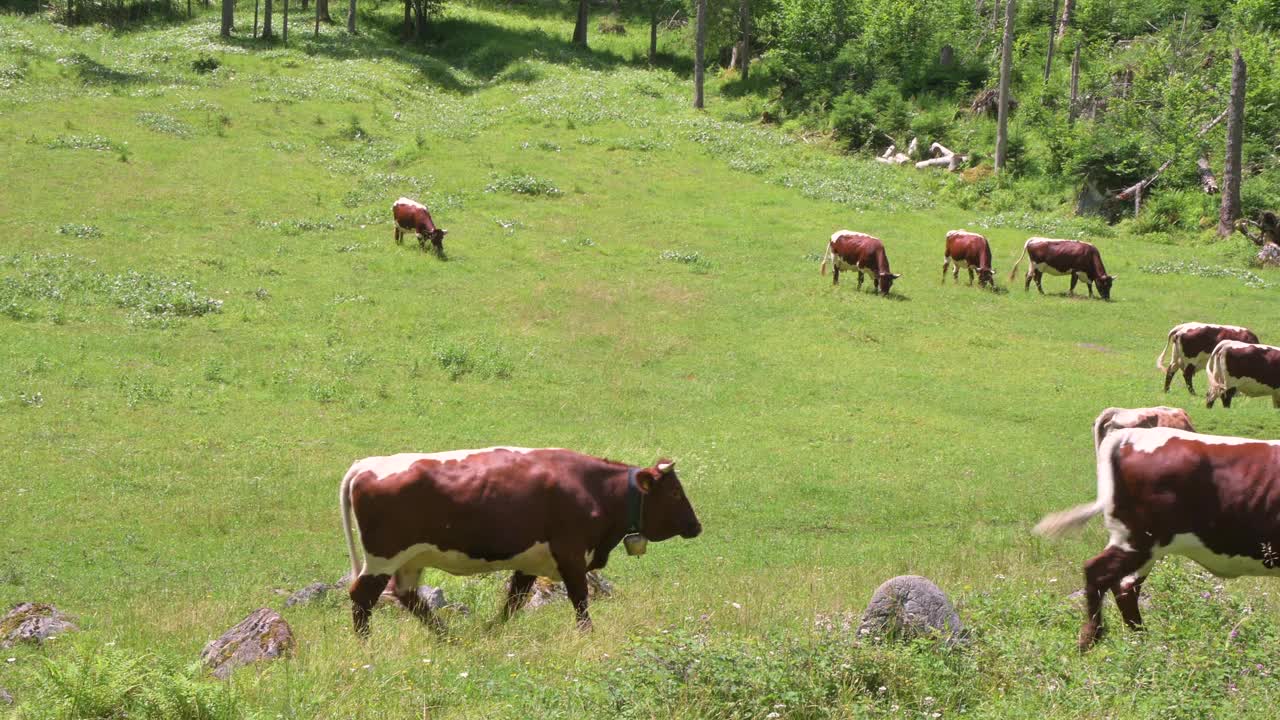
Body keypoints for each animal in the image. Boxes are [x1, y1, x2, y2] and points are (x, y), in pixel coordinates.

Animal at [337, 445, 701, 635]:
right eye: (674, 492)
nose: (696, 526)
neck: (592, 487)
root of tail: (368, 463)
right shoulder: (570, 553)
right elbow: (580, 599)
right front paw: (587, 635)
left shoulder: (531, 561)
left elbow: (513, 601)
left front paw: (492, 632)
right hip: (383, 557)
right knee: (363, 596)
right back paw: (366, 645)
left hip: (410, 560)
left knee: (407, 596)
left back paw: (449, 638)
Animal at [1034, 425, 1280, 650]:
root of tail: (1131, 434)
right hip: (1138, 540)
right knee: (1098, 572)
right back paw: (1091, 638)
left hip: (1143, 546)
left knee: (1125, 586)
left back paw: (1142, 642)